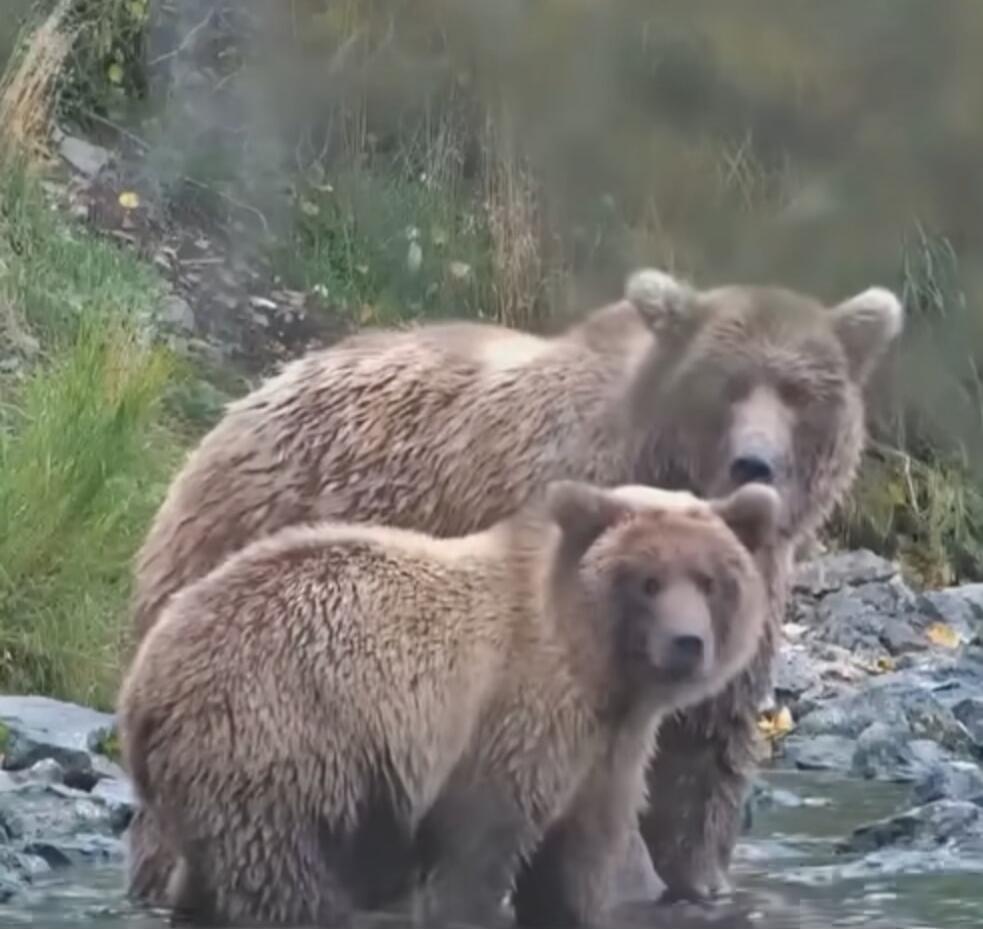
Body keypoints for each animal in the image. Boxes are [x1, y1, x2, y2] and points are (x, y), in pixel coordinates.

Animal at [117, 481, 779, 928]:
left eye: (710, 580)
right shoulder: (511, 718)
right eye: (648, 581)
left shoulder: (606, 752)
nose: (687, 643)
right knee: (283, 878)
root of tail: (141, 681)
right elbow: (479, 851)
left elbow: (576, 859)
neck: (595, 668)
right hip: (279, 736)